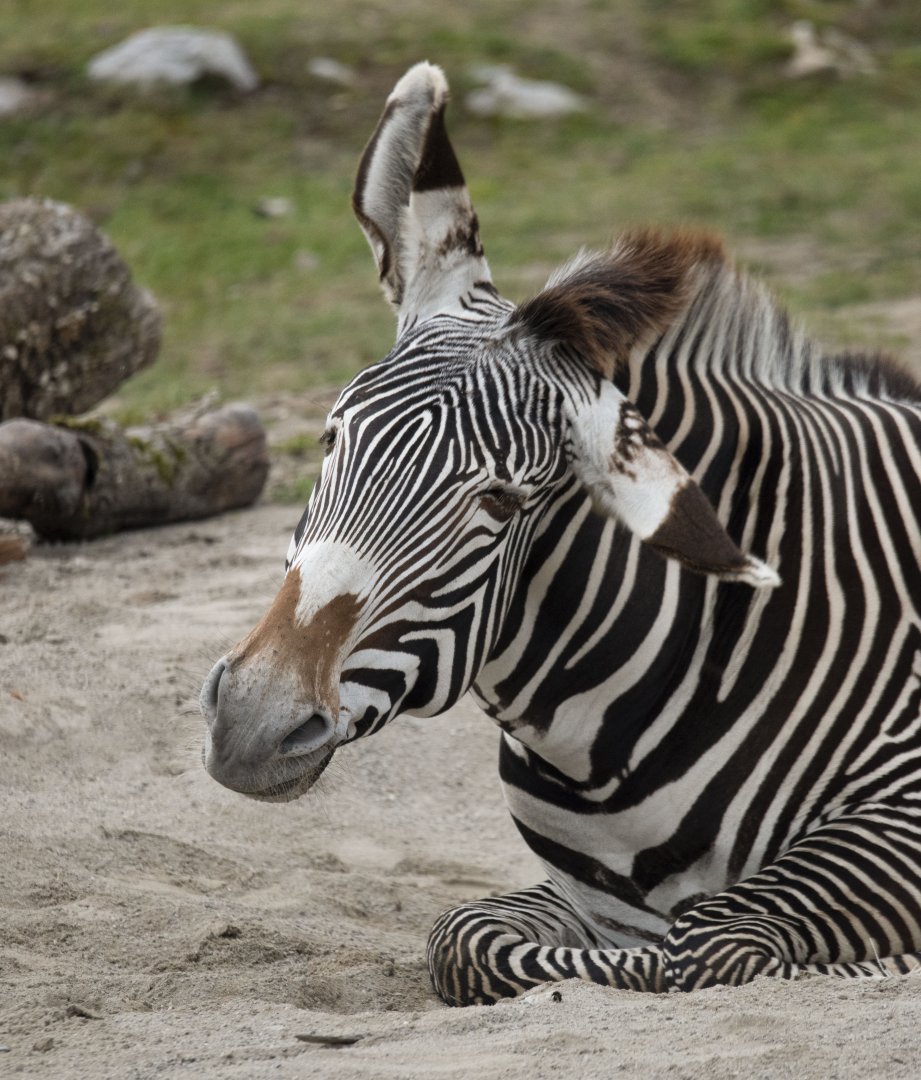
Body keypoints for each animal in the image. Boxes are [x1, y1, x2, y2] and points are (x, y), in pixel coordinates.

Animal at [200, 63, 921, 1005]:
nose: (251, 723)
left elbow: (705, 948)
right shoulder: (584, 899)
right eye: (329, 440)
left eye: (502, 502)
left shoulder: (898, 816)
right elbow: (465, 937)